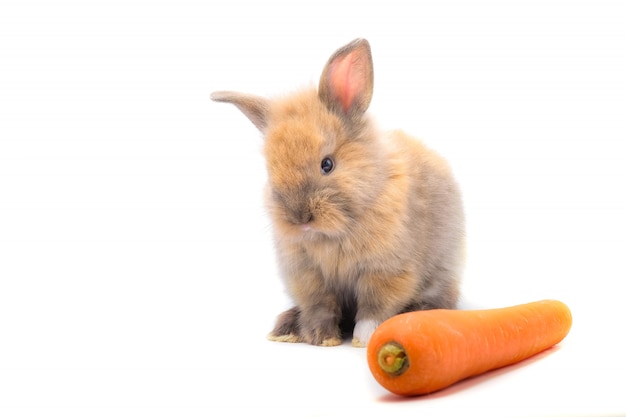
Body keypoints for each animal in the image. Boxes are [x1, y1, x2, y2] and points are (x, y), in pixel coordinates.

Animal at [212, 38, 460, 344]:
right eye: (271, 170)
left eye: (327, 164)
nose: (300, 219)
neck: (332, 234)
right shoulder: (308, 277)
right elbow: (320, 306)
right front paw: (320, 337)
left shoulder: (387, 272)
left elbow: (375, 306)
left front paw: (363, 337)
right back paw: (285, 328)